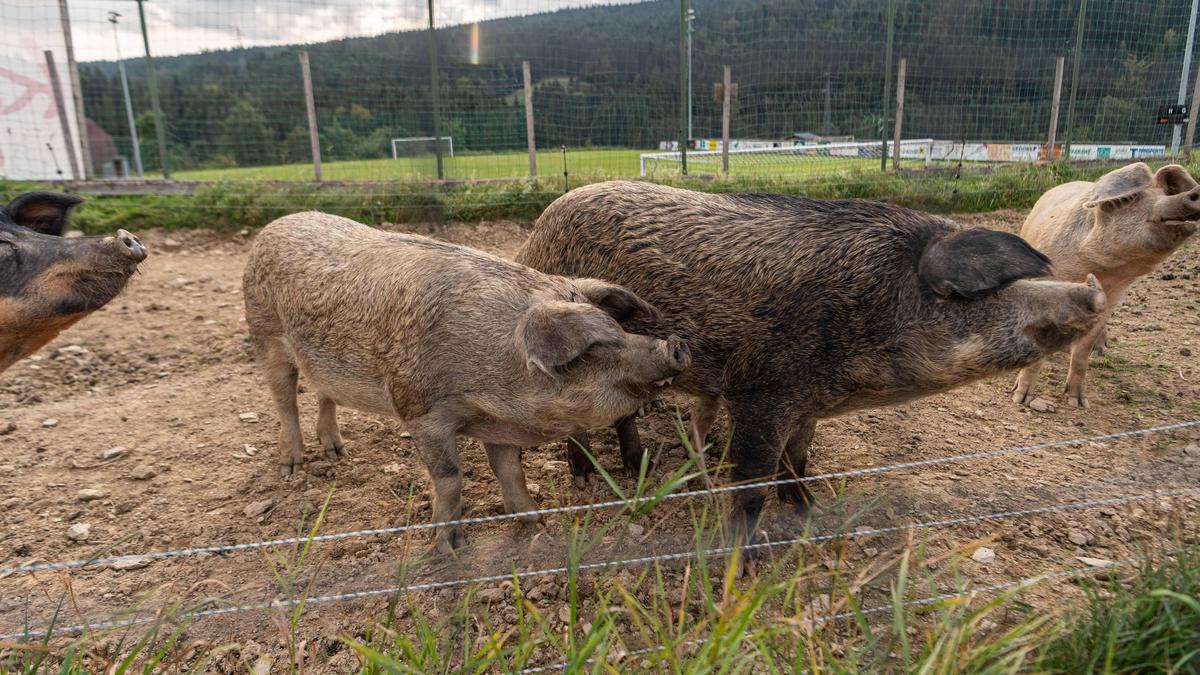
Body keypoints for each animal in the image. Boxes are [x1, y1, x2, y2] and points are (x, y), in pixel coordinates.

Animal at [242, 210, 691, 552]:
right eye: (591, 347)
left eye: (620, 329)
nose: (673, 345)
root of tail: (274, 225)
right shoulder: (420, 412)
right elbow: (450, 480)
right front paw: (446, 549)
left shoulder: (501, 422)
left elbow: (510, 472)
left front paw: (537, 526)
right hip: (264, 333)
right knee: (284, 398)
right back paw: (292, 466)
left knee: (323, 392)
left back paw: (337, 454)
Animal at [520, 181, 1108, 554]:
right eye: (969, 293)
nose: (1092, 292)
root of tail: (536, 231)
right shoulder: (761, 390)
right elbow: (751, 480)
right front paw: (744, 559)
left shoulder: (810, 404)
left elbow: (797, 459)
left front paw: (810, 511)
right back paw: (586, 480)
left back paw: (637, 467)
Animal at [1012, 163, 1200, 408]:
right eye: (1132, 198)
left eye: (1165, 193)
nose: (1194, 192)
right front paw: (1020, 399)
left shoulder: (1113, 296)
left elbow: (1083, 352)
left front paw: (1079, 403)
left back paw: (1096, 351)